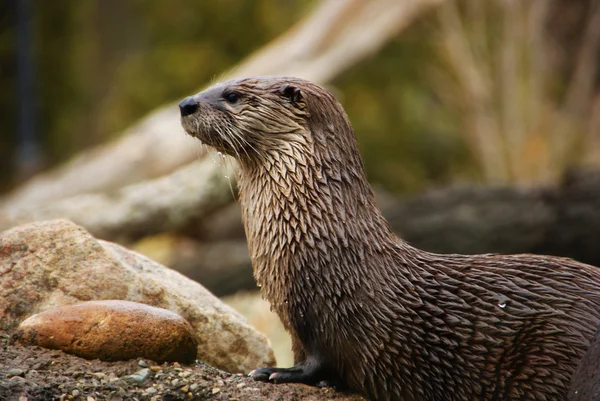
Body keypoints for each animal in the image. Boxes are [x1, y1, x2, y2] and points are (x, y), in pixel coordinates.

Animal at [180, 76, 600, 400]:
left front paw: (278, 373)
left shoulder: (328, 312)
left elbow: (320, 361)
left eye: (233, 95)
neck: (319, 237)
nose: (186, 103)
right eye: (217, 83)